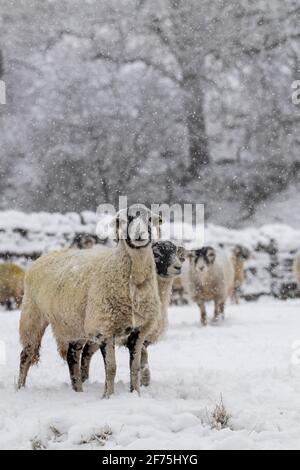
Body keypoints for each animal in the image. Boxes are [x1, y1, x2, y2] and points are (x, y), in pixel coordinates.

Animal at [17, 205, 163, 396]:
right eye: (124, 220)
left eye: (150, 219)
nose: (139, 235)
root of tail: (43, 256)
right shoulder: (104, 328)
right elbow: (111, 368)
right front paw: (108, 396)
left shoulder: (138, 331)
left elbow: (135, 368)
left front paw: (135, 394)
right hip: (33, 315)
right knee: (26, 354)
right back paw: (20, 388)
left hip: (75, 323)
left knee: (72, 356)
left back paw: (78, 390)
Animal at [79, 241, 188, 388]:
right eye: (156, 254)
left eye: (176, 252)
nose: (178, 267)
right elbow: (143, 356)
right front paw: (145, 380)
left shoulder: (144, 337)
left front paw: (143, 382)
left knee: (87, 352)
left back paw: (85, 380)